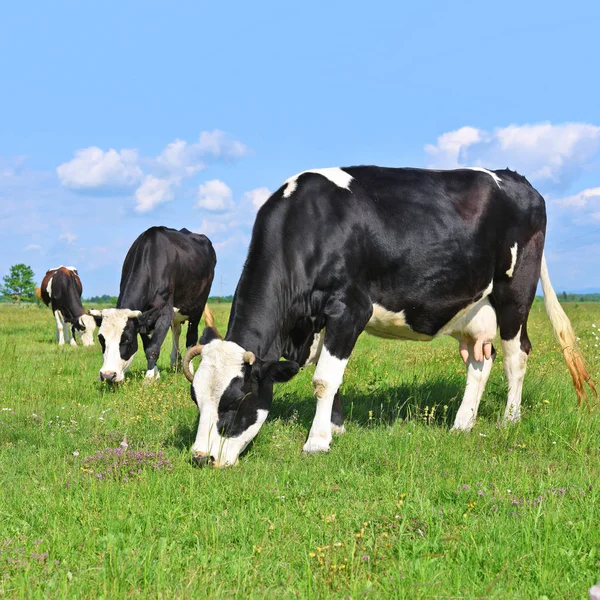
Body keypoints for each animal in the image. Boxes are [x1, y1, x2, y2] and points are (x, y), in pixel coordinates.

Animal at [91, 225, 216, 384]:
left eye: (127, 339)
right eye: (101, 339)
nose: (107, 375)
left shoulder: (165, 312)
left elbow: (153, 348)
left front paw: (149, 377)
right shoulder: (143, 318)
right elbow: (147, 346)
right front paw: (155, 373)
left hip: (198, 306)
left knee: (191, 337)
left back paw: (189, 367)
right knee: (176, 331)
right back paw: (175, 361)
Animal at [183, 165, 596, 468]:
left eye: (236, 400)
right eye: (196, 399)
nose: (200, 458)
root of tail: (515, 177)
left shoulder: (350, 308)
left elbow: (323, 379)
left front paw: (317, 441)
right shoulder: (318, 323)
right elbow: (331, 377)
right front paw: (336, 427)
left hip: (515, 293)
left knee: (516, 356)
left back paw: (510, 419)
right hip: (473, 310)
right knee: (481, 361)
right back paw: (462, 423)